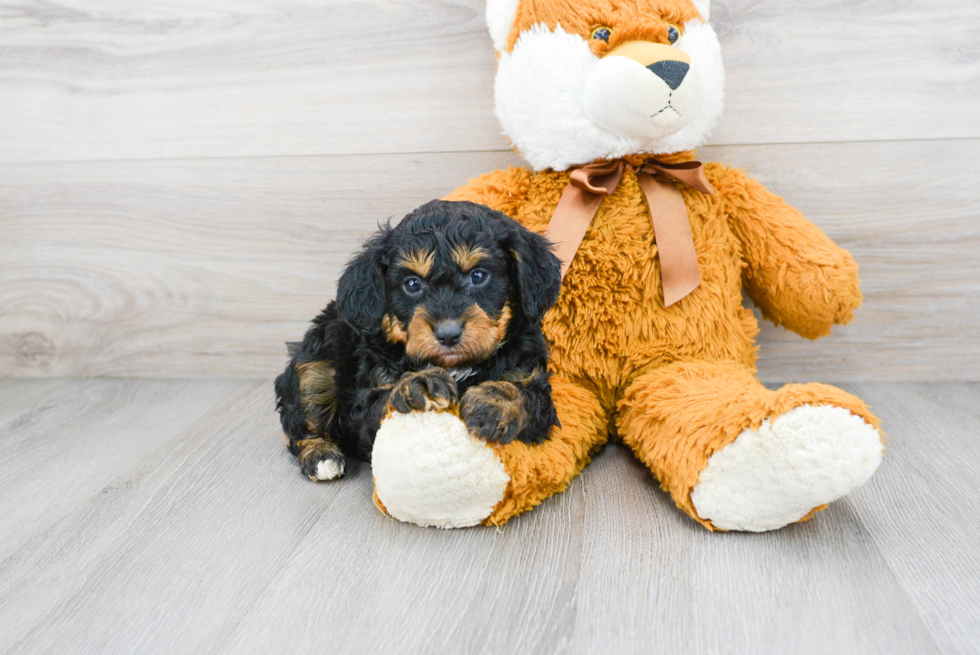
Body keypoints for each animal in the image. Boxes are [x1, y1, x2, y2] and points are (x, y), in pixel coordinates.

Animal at [276, 200, 568, 482]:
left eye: (478, 276)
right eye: (412, 284)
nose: (448, 333)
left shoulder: (530, 378)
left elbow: (524, 394)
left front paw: (492, 404)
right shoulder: (366, 399)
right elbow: (379, 403)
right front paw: (420, 385)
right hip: (316, 362)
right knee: (305, 411)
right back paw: (321, 456)